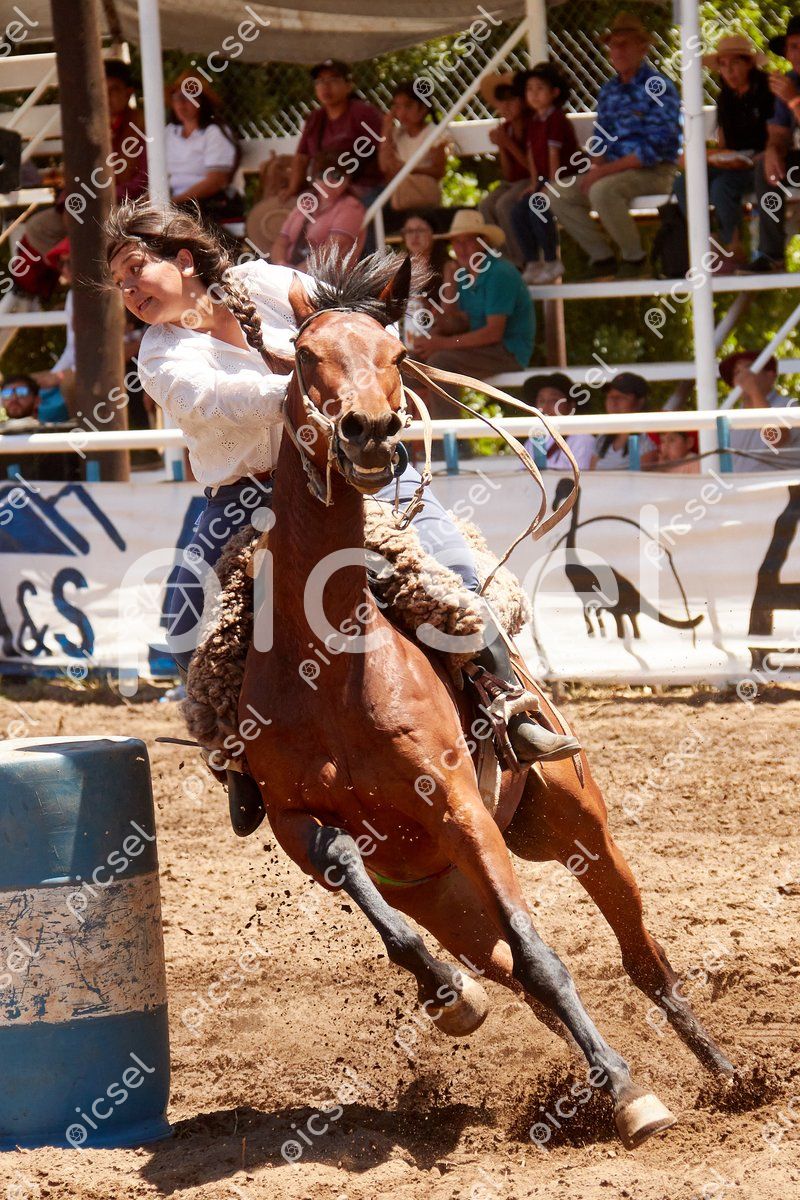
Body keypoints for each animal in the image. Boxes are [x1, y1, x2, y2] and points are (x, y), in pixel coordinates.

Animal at [239, 250, 734, 1150]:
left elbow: (542, 952)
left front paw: (634, 1096)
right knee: (505, 968)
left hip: (575, 825)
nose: (369, 431)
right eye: (305, 355)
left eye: (398, 356)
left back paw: (722, 1074)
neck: (330, 665)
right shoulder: (297, 824)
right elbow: (351, 868)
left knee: (640, 957)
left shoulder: (458, 804)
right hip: (446, 891)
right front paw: (449, 999)